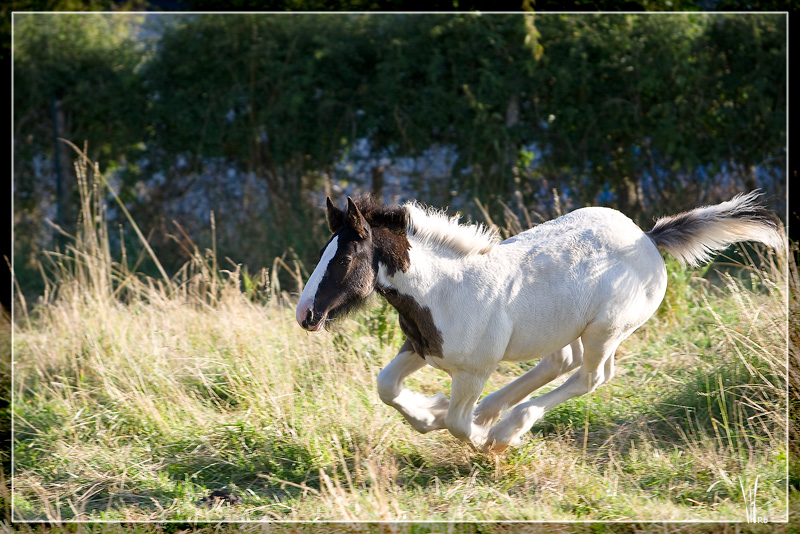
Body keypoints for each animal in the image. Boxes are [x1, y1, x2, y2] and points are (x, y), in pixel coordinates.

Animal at [296, 192, 780, 452]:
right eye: (323, 251)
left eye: (346, 258)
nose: (306, 315)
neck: (443, 290)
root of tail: (648, 238)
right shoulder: (419, 347)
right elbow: (387, 387)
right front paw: (429, 411)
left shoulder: (474, 371)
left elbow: (457, 424)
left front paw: (486, 440)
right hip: (565, 327)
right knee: (561, 362)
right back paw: (494, 412)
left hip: (605, 331)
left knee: (591, 376)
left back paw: (507, 426)